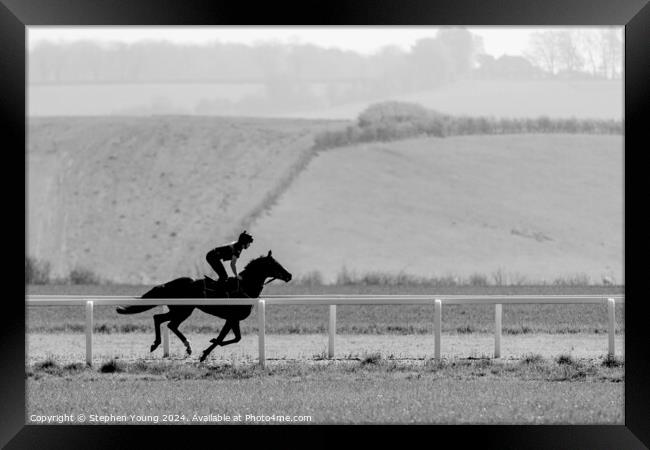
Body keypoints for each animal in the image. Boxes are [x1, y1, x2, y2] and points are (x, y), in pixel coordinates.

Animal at [114, 250, 292, 362]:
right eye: (275, 264)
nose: (289, 275)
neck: (244, 287)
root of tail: (168, 284)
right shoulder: (231, 318)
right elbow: (224, 337)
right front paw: (204, 354)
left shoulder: (234, 320)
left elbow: (236, 338)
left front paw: (208, 348)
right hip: (183, 310)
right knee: (164, 321)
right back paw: (162, 344)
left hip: (181, 310)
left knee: (164, 321)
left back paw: (180, 346)